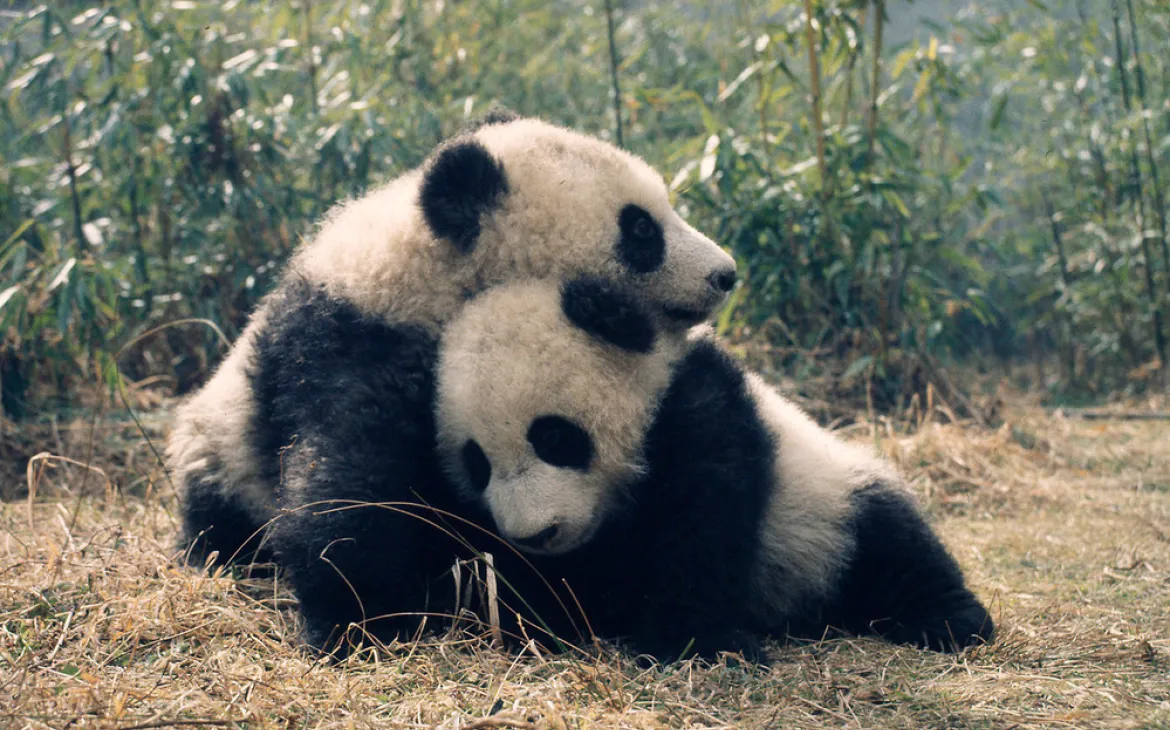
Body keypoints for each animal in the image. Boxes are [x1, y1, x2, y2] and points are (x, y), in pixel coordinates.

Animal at [164, 109, 738, 652]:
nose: (726, 274)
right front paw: (362, 618)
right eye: (641, 230)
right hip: (221, 455)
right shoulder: (353, 348)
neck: (427, 271)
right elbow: (343, 479)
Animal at [431, 276, 996, 664]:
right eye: (478, 464)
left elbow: (701, 528)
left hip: (830, 505)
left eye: (554, 437)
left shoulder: (702, 409)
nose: (538, 533)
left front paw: (699, 645)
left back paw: (950, 619)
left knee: (890, 543)